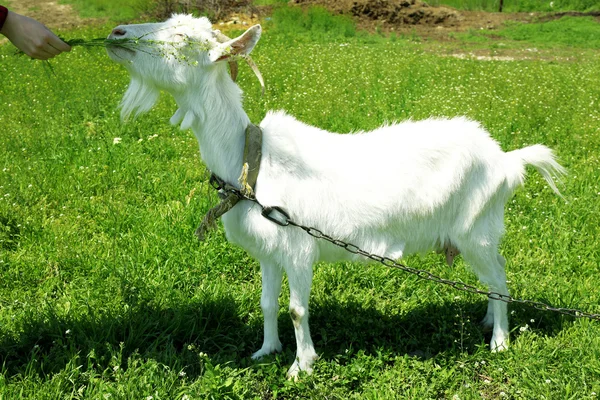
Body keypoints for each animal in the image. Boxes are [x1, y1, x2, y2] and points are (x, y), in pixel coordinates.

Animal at [109, 14, 568, 378]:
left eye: (184, 39)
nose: (116, 33)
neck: (251, 160)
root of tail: (506, 159)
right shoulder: (268, 251)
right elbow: (266, 303)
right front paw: (265, 351)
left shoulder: (297, 245)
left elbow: (296, 309)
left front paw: (301, 366)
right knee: (493, 280)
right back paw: (489, 324)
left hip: (478, 229)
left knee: (500, 280)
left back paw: (500, 342)